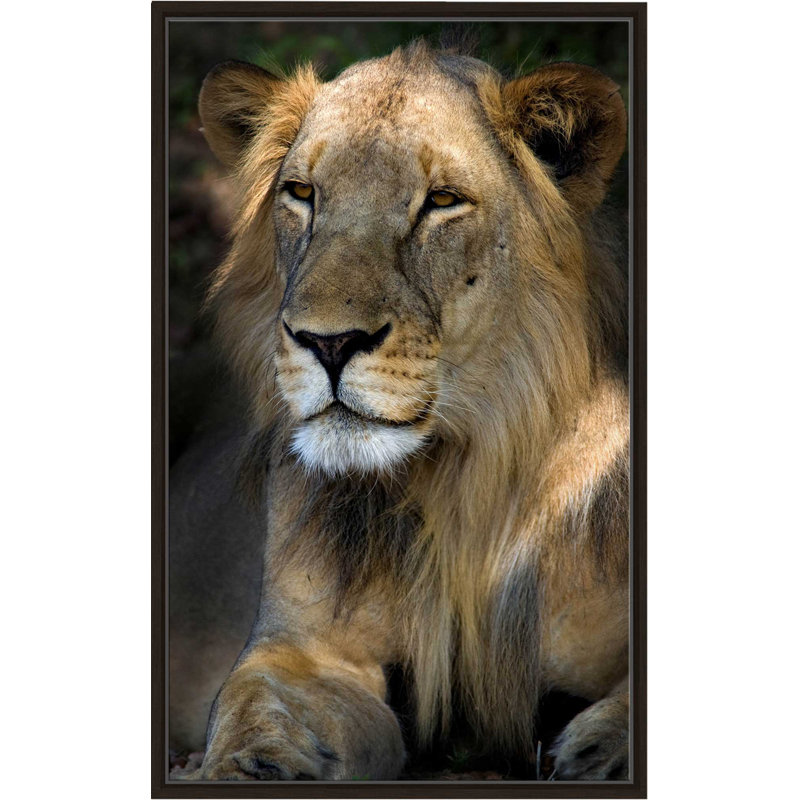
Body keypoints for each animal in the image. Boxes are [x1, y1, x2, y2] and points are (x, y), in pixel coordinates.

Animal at [178, 40, 629, 781]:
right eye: (302, 193)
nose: (328, 342)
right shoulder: (306, 649)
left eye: (441, 202)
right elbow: (255, 703)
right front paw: (251, 765)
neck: (461, 481)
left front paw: (602, 751)